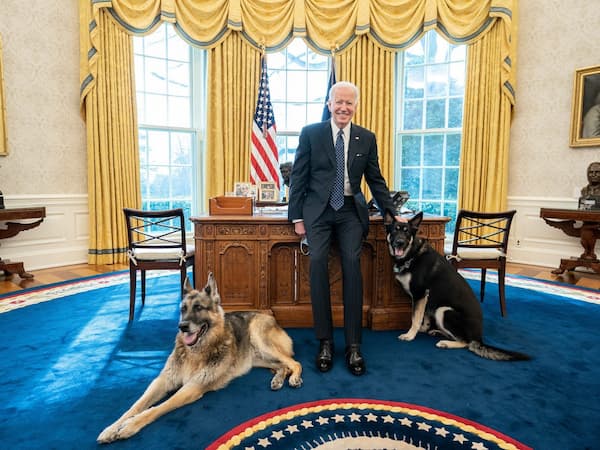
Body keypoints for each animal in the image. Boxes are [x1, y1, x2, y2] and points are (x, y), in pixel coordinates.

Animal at [100, 270, 304, 442]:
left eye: (198, 307)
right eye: (183, 309)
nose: (182, 326)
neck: (195, 352)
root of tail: (270, 317)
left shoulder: (192, 387)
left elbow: (157, 408)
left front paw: (131, 425)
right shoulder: (163, 381)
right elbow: (136, 406)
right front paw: (112, 427)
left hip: (260, 339)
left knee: (294, 363)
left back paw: (294, 378)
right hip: (257, 359)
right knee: (282, 365)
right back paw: (278, 380)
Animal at [384, 211, 528, 362]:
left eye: (406, 232)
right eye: (395, 230)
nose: (399, 242)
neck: (412, 254)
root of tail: (479, 338)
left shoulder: (420, 294)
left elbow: (416, 318)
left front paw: (410, 335)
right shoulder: (427, 299)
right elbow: (425, 317)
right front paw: (423, 329)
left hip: (443, 311)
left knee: (466, 343)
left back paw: (446, 343)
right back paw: (437, 332)